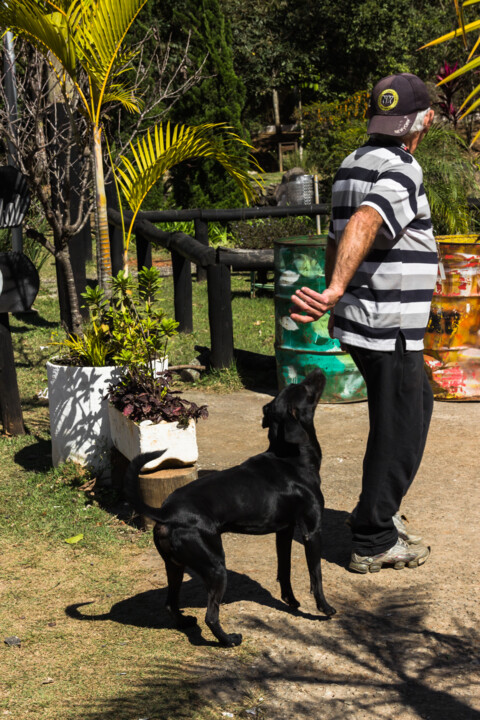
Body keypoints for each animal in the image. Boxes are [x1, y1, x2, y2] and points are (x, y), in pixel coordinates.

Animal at [124, 366, 334, 648]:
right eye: (304, 389)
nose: (317, 369)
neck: (291, 457)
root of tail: (167, 513)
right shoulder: (312, 531)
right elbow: (316, 576)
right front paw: (325, 609)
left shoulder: (285, 531)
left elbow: (285, 570)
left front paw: (290, 601)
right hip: (216, 567)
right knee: (211, 616)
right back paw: (229, 639)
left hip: (175, 565)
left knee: (170, 604)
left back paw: (185, 622)